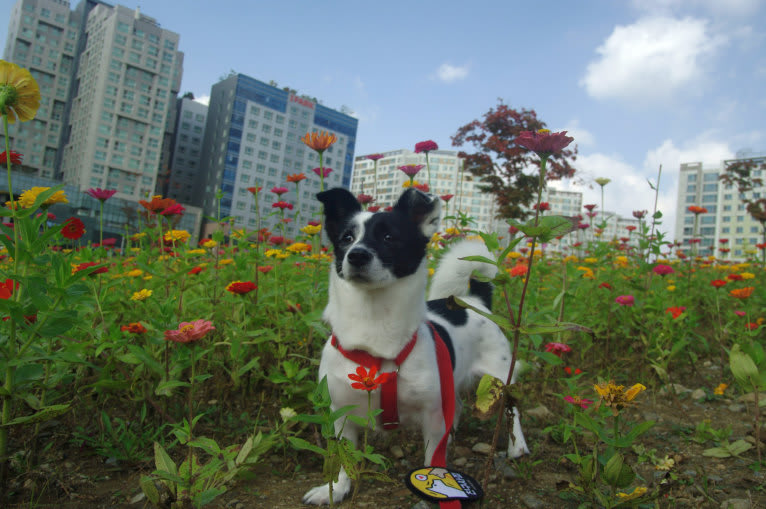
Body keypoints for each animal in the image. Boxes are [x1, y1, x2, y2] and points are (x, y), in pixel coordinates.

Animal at [304, 188, 532, 504]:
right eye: (346, 238)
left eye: (389, 237)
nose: (357, 255)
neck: (374, 326)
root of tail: (476, 300)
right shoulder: (341, 413)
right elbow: (344, 459)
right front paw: (337, 489)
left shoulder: (432, 414)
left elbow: (432, 459)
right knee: (458, 406)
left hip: (500, 378)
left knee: (512, 412)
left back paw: (517, 445)